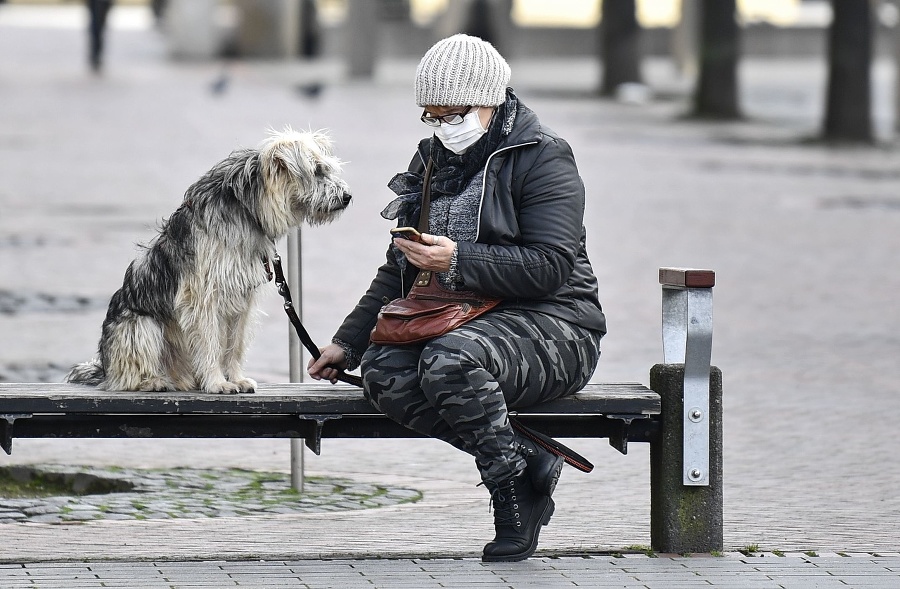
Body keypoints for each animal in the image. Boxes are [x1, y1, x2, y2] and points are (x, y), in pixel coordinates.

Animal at [67, 131, 352, 392]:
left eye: (327, 169)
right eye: (317, 171)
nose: (347, 197)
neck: (248, 210)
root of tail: (106, 369)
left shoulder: (242, 297)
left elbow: (234, 344)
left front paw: (235, 378)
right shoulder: (203, 295)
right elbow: (209, 343)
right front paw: (217, 383)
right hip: (140, 327)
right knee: (128, 376)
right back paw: (154, 381)